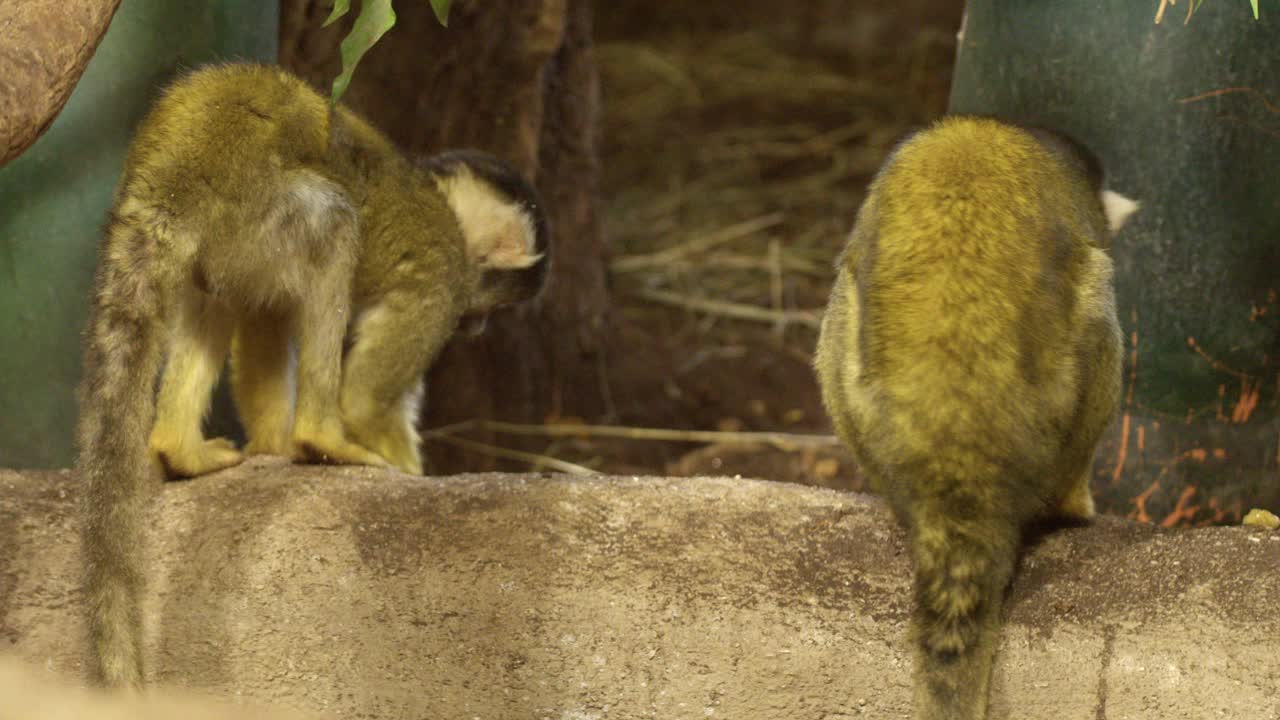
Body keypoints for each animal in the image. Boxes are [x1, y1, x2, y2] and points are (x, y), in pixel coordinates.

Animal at [76, 64, 550, 686]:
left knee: (228, 297)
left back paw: (182, 449)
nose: (478, 328)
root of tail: (173, 165)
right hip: (266, 209)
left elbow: (263, 319)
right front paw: (404, 469)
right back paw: (320, 439)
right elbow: (368, 400)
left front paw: (270, 448)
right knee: (334, 226)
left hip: (227, 230)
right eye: (489, 307)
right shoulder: (442, 280)